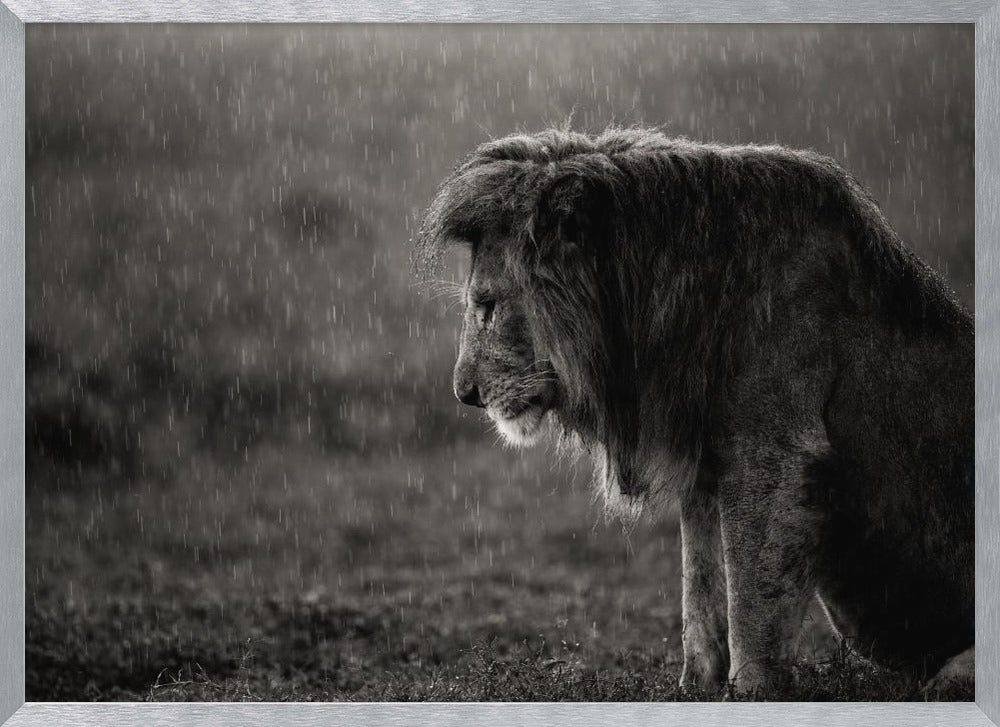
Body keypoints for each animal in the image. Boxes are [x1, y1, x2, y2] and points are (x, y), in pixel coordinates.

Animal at [415, 127, 974, 697]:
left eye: (486, 306)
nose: (464, 394)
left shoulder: (774, 454)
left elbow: (750, 599)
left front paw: (752, 692)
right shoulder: (704, 459)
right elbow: (700, 586)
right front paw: (694, 688)